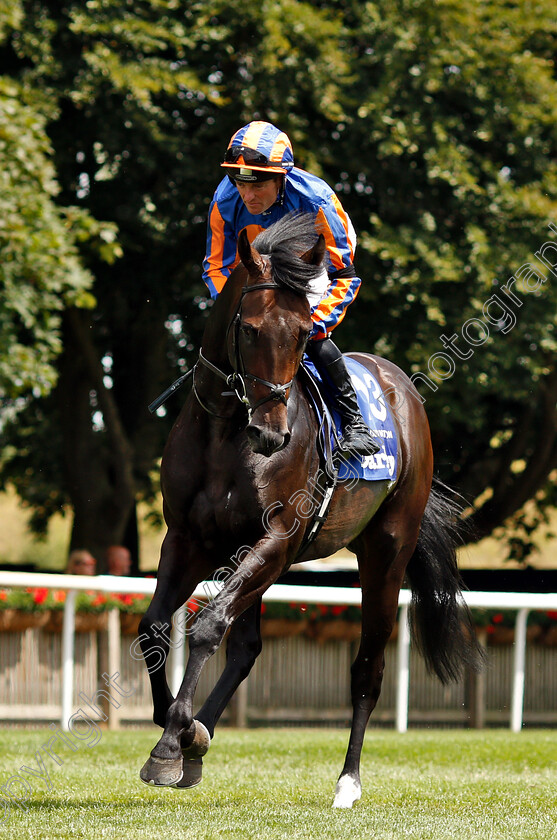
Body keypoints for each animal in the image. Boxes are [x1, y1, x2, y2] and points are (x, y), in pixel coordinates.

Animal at [137, 213, 480, 812]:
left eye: (301, 336)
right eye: (250, 329)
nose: (273, 435)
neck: (227, 431)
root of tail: (403, 389)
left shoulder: (278, 537)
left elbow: (207, 626)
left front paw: (173, 740)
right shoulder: (187, 537)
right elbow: (157, 626)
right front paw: (175, 729)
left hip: (386, 551)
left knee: (368, 667)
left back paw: (348, 781)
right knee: (246, 647)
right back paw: (201, 737)